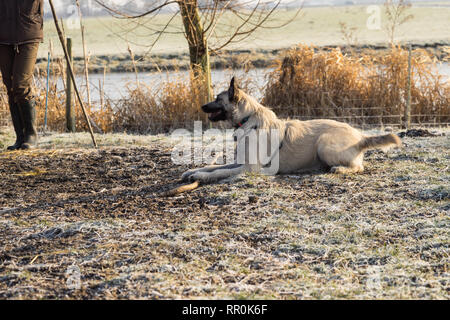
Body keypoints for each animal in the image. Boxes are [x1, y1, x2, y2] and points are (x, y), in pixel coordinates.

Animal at [181, 76, 402, 184]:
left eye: (218, 99)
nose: (201, 106)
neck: (247, 119)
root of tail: (360, 135)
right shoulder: (240, 162)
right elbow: (213, 167)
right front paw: (193, 171)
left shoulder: (249, 168)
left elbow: (220, 172)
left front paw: (201, 177)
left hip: (324, 144)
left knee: (358, 167)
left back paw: (340, 169)